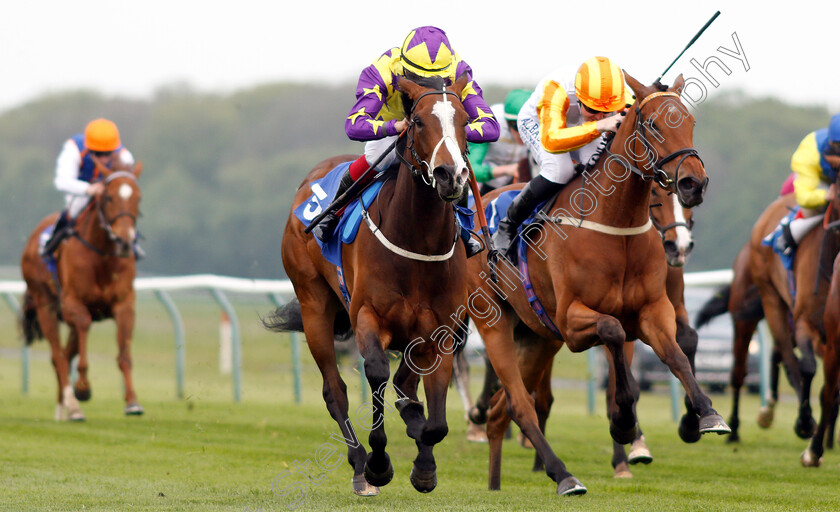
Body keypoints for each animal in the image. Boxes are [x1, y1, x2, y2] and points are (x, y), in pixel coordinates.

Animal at [20, 162, 144, 422]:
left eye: (138, 198)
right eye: (108, 197)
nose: (125, 241)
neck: (102, 256)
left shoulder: (124, 304)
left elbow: (124, 355)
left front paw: (132, 402)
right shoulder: (72, 305)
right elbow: (82, 333)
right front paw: (83, 389)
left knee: (65, 355)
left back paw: (64, 407)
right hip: (45, 305)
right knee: (58, 356)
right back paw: (73, 405)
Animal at [270, 75, 476, 496]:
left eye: (464, 120)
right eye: (418, 122)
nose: (451, 175)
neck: (418, 242)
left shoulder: (440, 332)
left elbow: (435, 419)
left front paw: (424, 465)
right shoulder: (367, 316)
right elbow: (378, 373)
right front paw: (379, 464)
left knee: (404, 385)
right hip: (314, 305)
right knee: (335, 392)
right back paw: (360, 468)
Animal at [466, 73, 728, 496]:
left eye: (689, 121)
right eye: (653, 125)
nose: (693, 183)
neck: (614, 225)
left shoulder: (653, 310)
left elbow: (676, 354)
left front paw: (704, 415)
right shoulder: (574, 320)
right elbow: (613, 333)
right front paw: (623, 425)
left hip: (539, 336)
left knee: (502, 410)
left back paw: (496, 483)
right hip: (496, 324)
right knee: (520, 404)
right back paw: (563, 475)